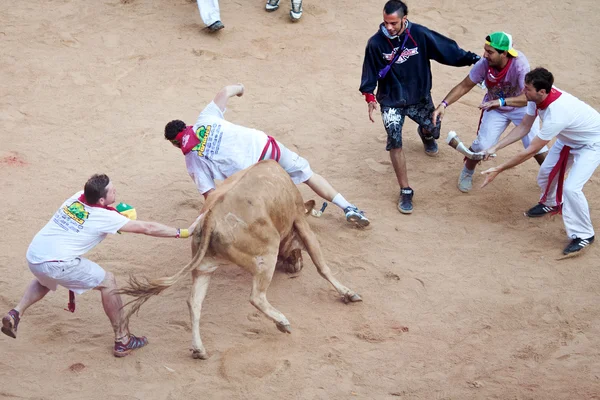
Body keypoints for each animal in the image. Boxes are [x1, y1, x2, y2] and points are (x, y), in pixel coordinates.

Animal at [118, 159, 360, 360]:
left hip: (204, 267)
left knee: (194, 303)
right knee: (256, 297)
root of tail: (211, 216)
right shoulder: (300, 220)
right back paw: (282, 322)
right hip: (267, 252)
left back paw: (199, 349)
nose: (296, 267)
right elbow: (322, 265)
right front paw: (348, 293)